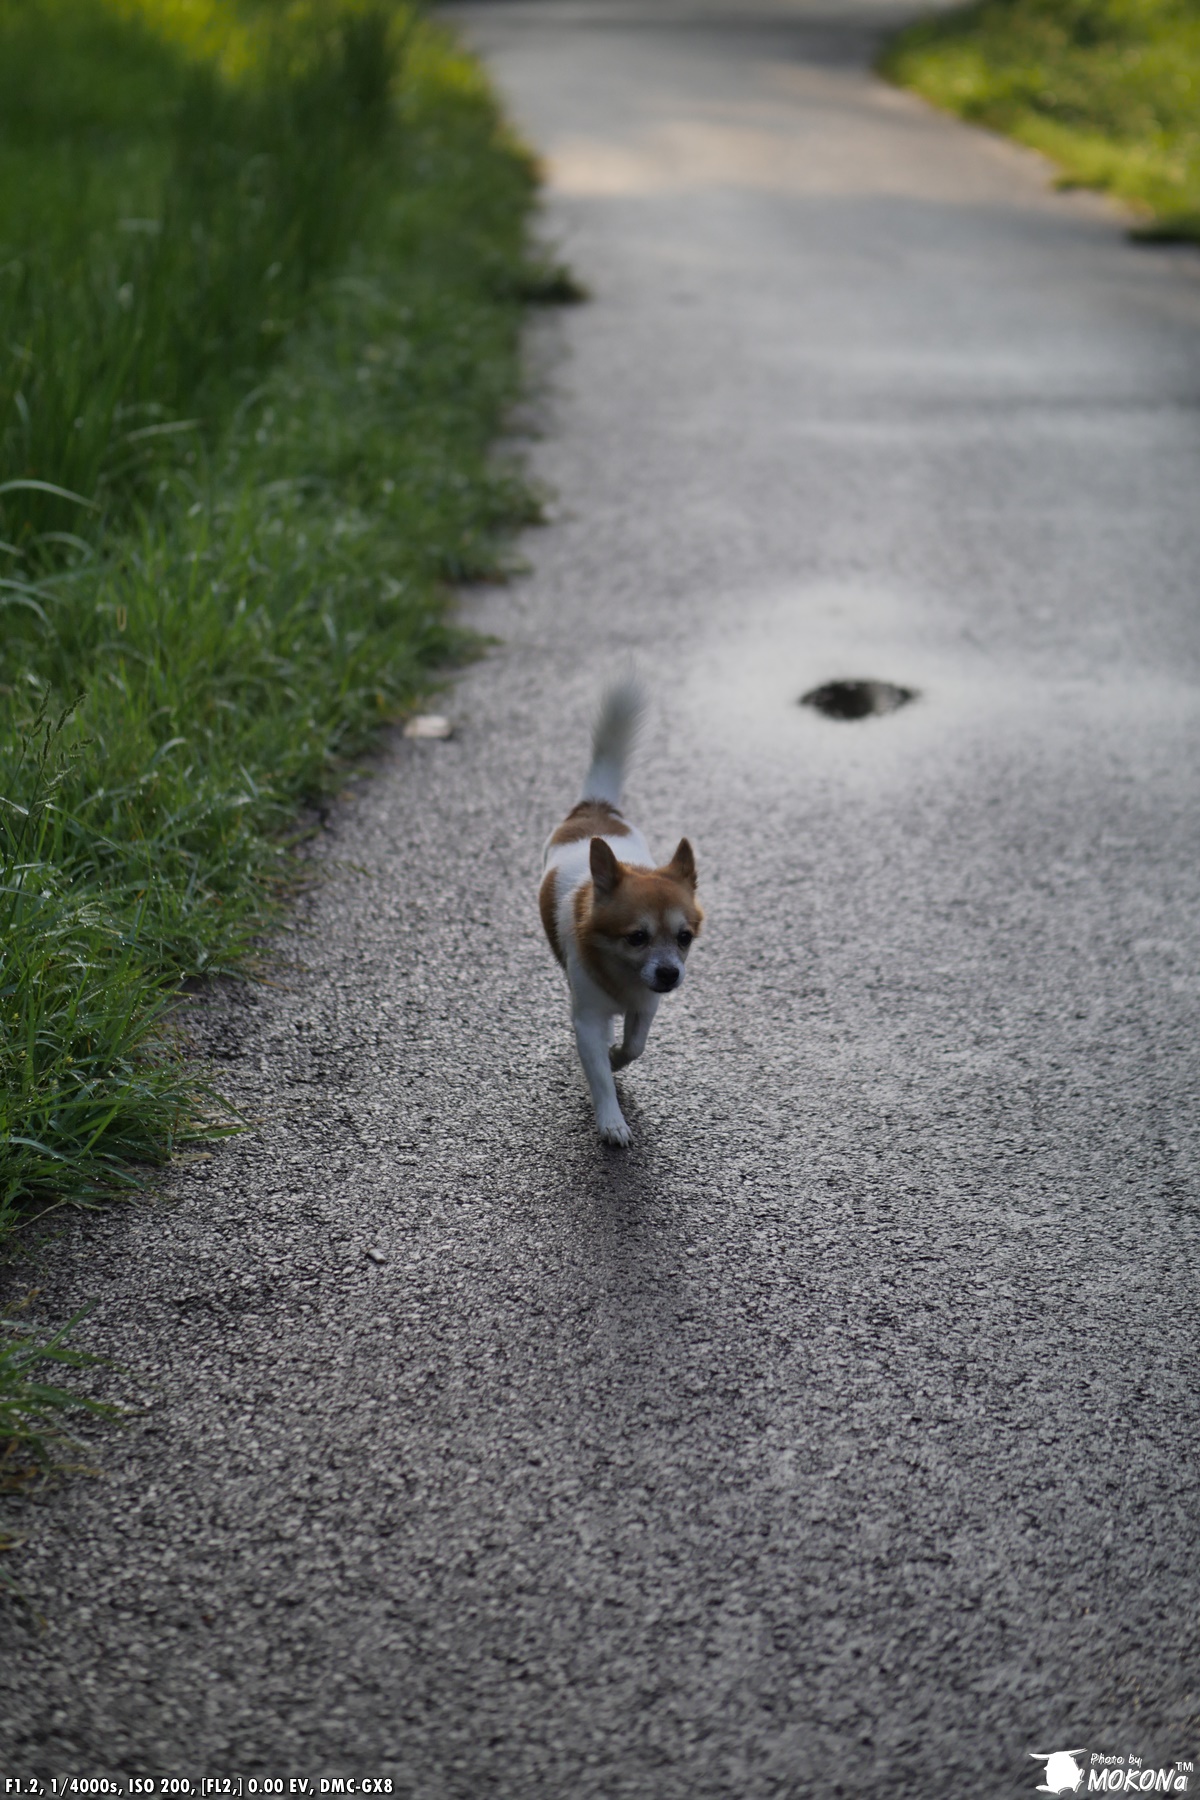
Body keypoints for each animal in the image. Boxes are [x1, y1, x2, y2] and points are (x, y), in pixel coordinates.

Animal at [539, 679, 703, 1145]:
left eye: (684, 938)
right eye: (637, 937)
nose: (669, 974)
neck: (621, 976)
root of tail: (595, 808)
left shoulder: (645, 1008)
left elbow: (634, 1046)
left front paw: (616, 1057)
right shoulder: (588, 1021)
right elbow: (598, 1075)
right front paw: (611, 1120)